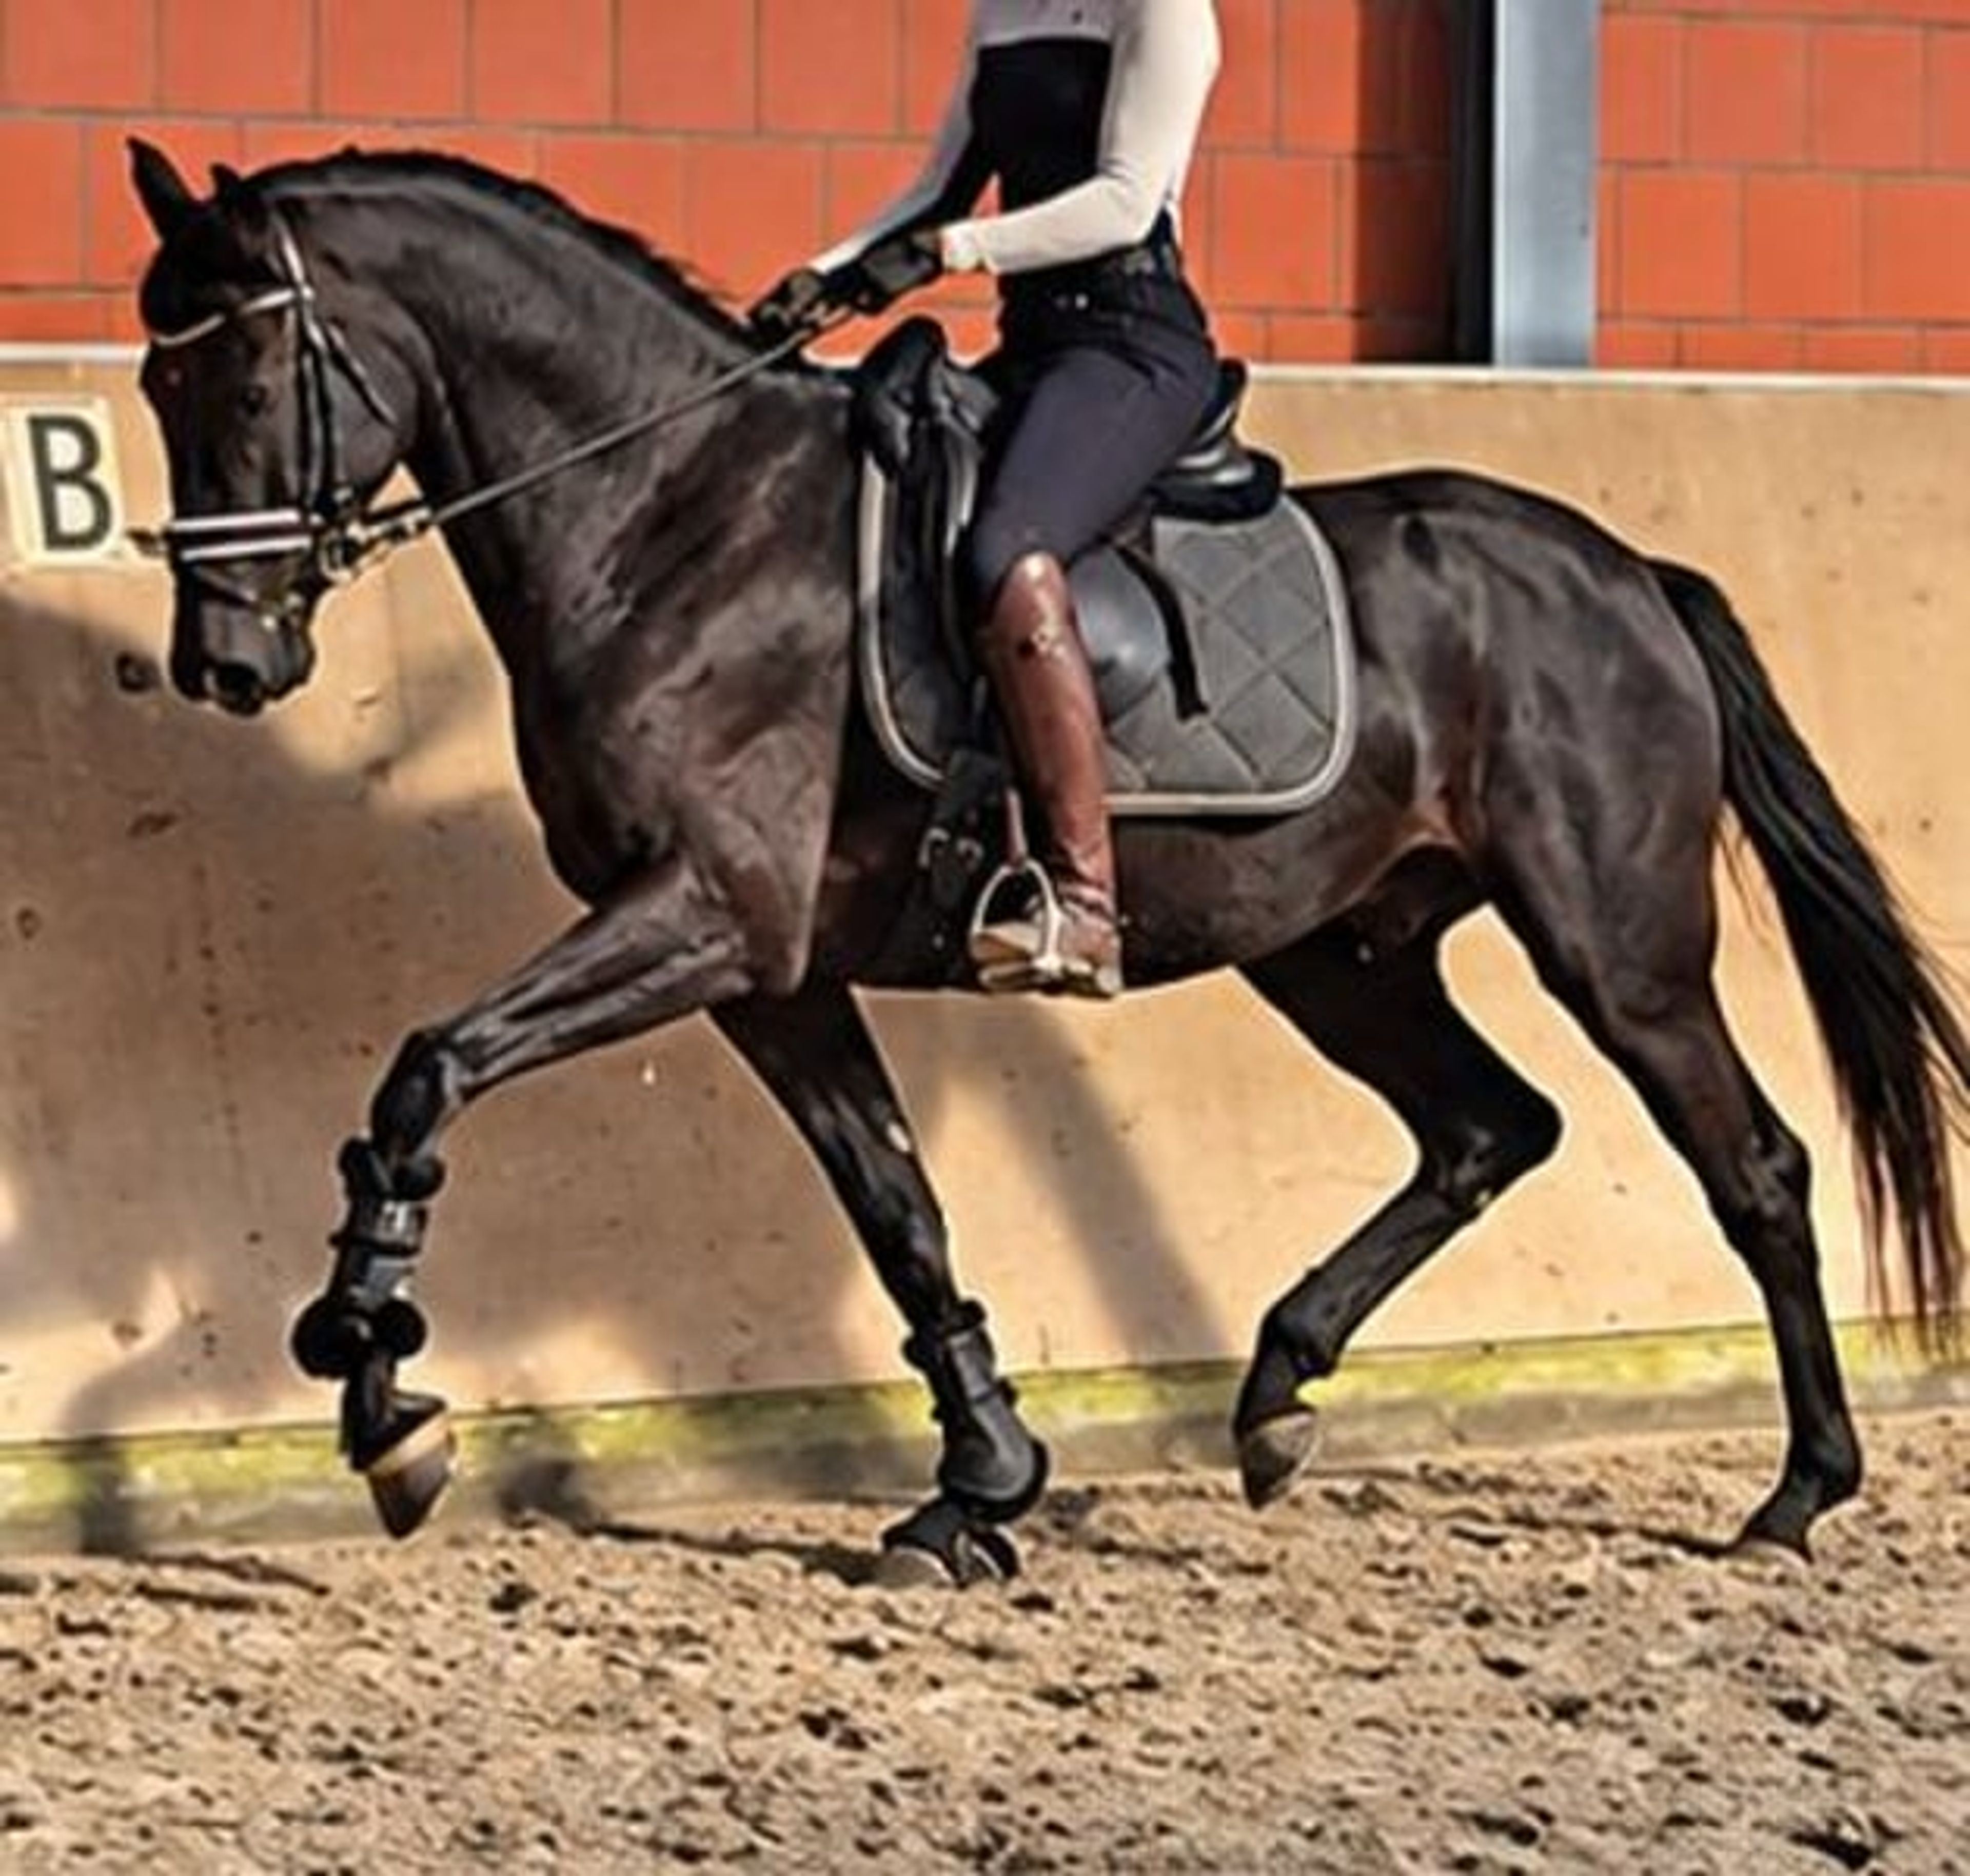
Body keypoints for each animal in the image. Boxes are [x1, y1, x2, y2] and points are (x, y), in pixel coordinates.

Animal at [126, 140, 1966, 1581]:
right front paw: (981, 1484)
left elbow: (428, 1071)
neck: (672, 517)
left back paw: (1800, 1491)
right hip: (1339, 949)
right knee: (1485, 1128)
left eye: (245, 381)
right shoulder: (770, 972)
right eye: (155, 385)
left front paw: (377, 1384)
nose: (227, 662)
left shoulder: (701, 918)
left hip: (1616, 945)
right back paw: (1277, 1394)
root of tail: (1629, 574)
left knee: (1753, 1167)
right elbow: (898, 1208)